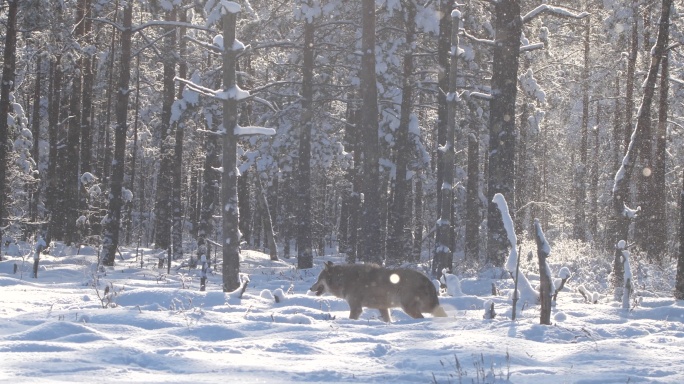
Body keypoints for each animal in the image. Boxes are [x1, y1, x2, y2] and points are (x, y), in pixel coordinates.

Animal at [310, 260, 448, 320]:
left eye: (318, 279)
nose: (310, 287)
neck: (344, 280)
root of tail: (428, 280)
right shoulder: (383, 308)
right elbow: (388, 320)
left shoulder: (356, 308)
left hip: (410, 308)